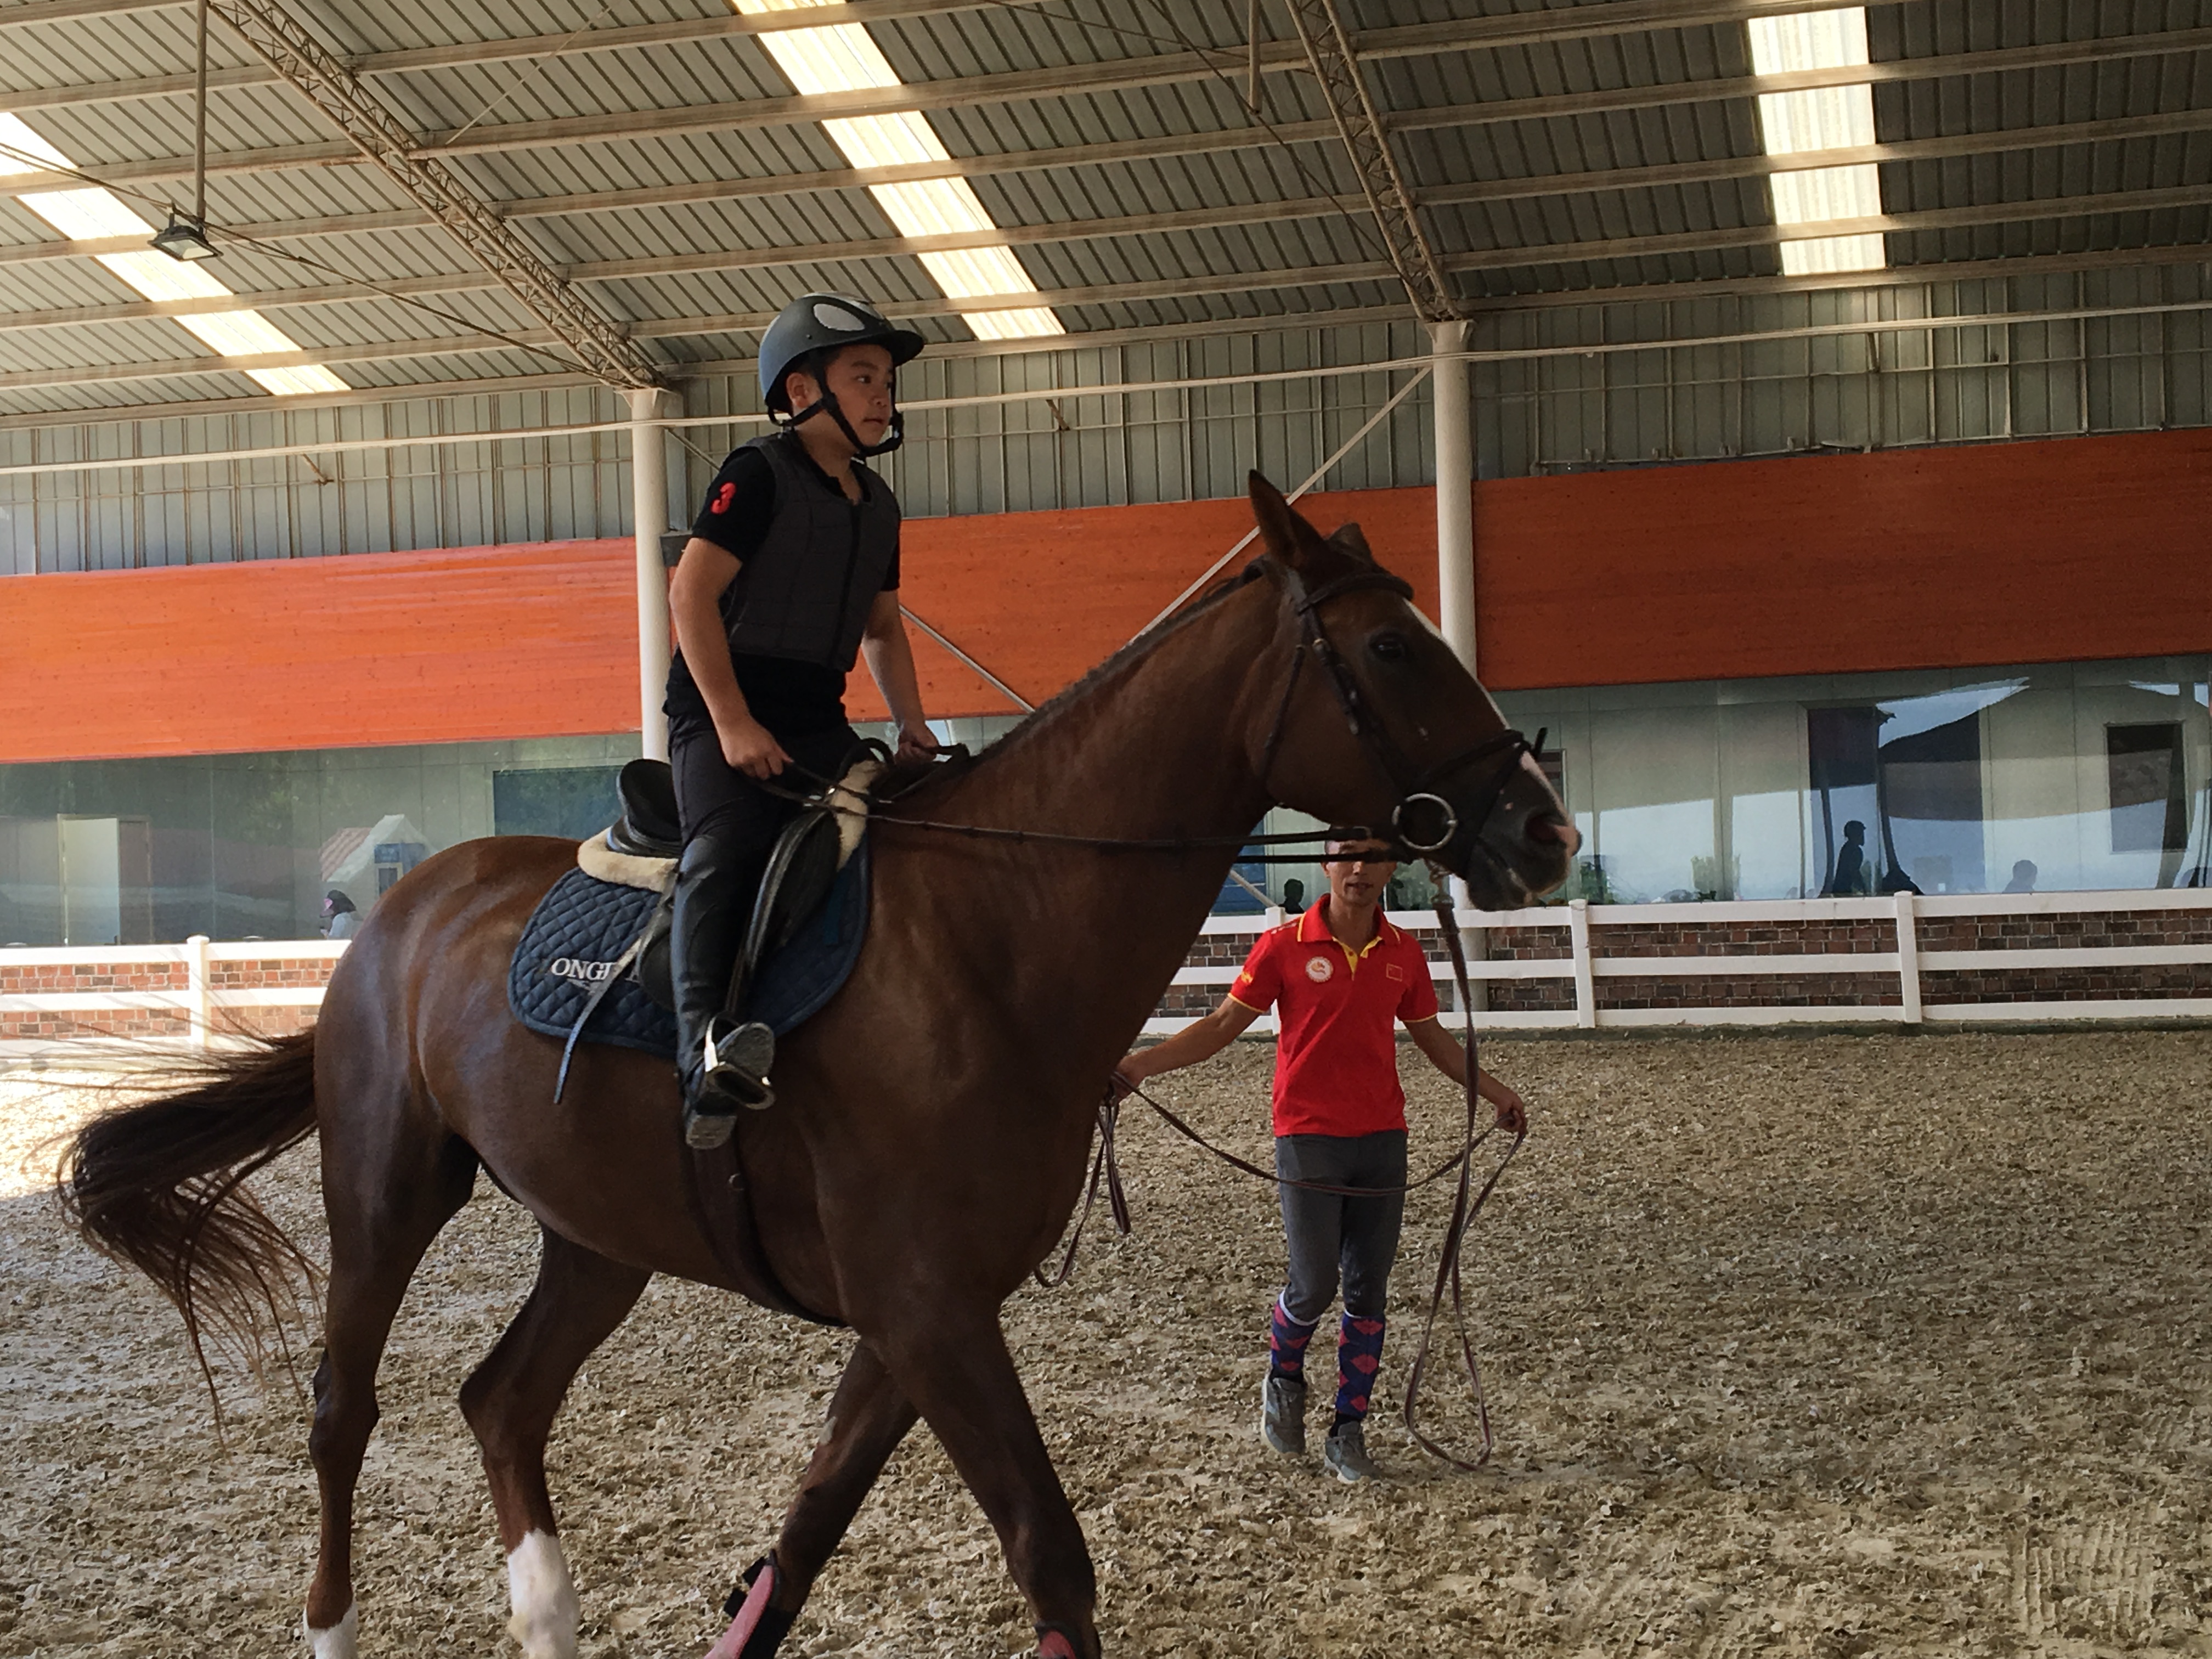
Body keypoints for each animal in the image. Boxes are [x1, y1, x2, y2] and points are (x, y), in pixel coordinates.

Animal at [64, 477, 1575, 1659]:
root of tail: (399, 911)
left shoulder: (920, 1317)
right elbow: (1051, 1560)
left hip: (598, 1236)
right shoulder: (923, 1307)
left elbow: (805, 1536)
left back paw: (547, 1614)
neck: (993, 935)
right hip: (388, 1193)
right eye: (1391, 647)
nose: (1543, 832)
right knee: (344, 1408)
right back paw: (333, 1624)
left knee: (502, 1402)